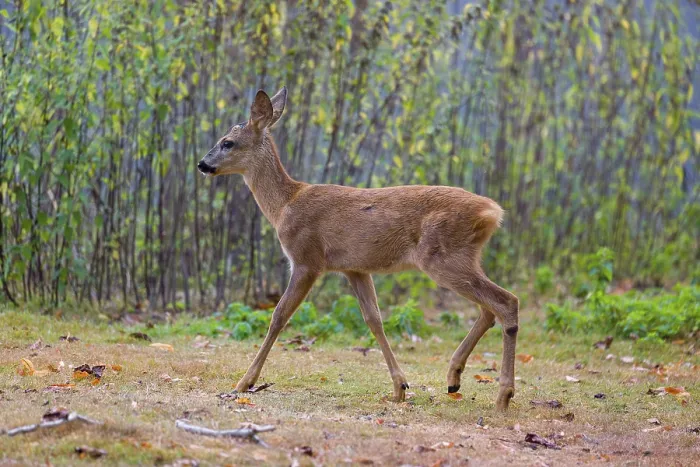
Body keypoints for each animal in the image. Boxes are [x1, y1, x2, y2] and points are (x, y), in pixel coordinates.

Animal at [198, 87, 519, 411]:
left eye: (227, 142)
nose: (202, 164)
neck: (285, 205)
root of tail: (493, 212)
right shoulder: (354, 268)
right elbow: (374, 320)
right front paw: (400, 387)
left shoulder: (306, 258)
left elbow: (279, 316)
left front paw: (244, 382)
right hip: (462, 257)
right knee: (488, 309)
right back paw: (454, 378)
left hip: (443, 257)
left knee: (506, 301)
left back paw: (503, 395)